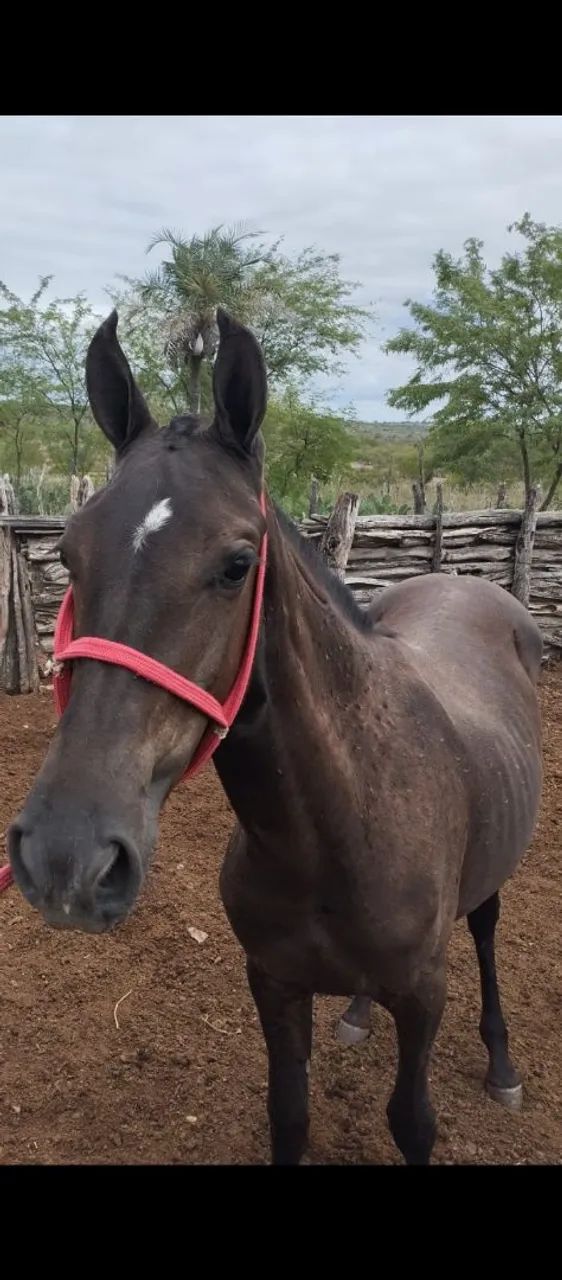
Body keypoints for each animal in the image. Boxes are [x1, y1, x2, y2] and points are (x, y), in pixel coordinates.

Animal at [8, 309, 543, 1165]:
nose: (66, 858)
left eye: (236, 564)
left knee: (488, 932)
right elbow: (288, 1115)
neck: (337, 828)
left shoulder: (424, 995)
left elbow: (412, 1121)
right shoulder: (274, 983)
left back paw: (501, 1064)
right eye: (68, 554)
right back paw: (357, 1014)